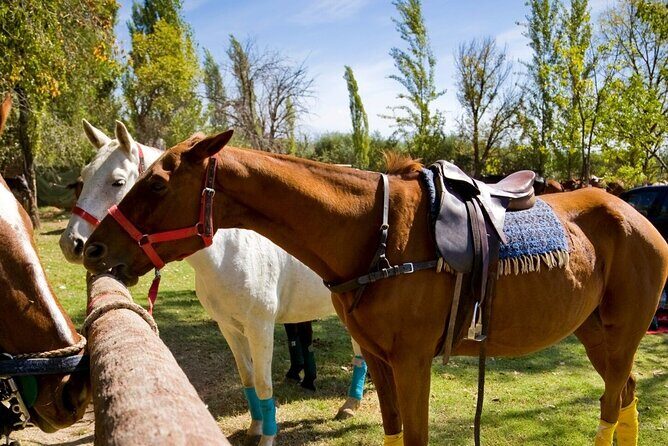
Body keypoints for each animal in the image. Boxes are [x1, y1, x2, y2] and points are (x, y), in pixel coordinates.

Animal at [60, 121, 367, 445]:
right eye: (82, 180)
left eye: (118, 182)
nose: (79, 246)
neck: (229, 252)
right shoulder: (228, 327)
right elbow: (247, 378)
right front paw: (254, 428)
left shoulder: (260, 327)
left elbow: (264, 384)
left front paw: (267, 437)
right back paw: (350, 403)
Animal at [82, 132, 667, 446]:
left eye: (153, 183)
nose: (91, 249)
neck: (377, 234)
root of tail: (638, 216)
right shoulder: (382, 360)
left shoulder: (411, 363)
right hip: (595, 334)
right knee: (626, 393)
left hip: (623, 335)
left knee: (611, 403)